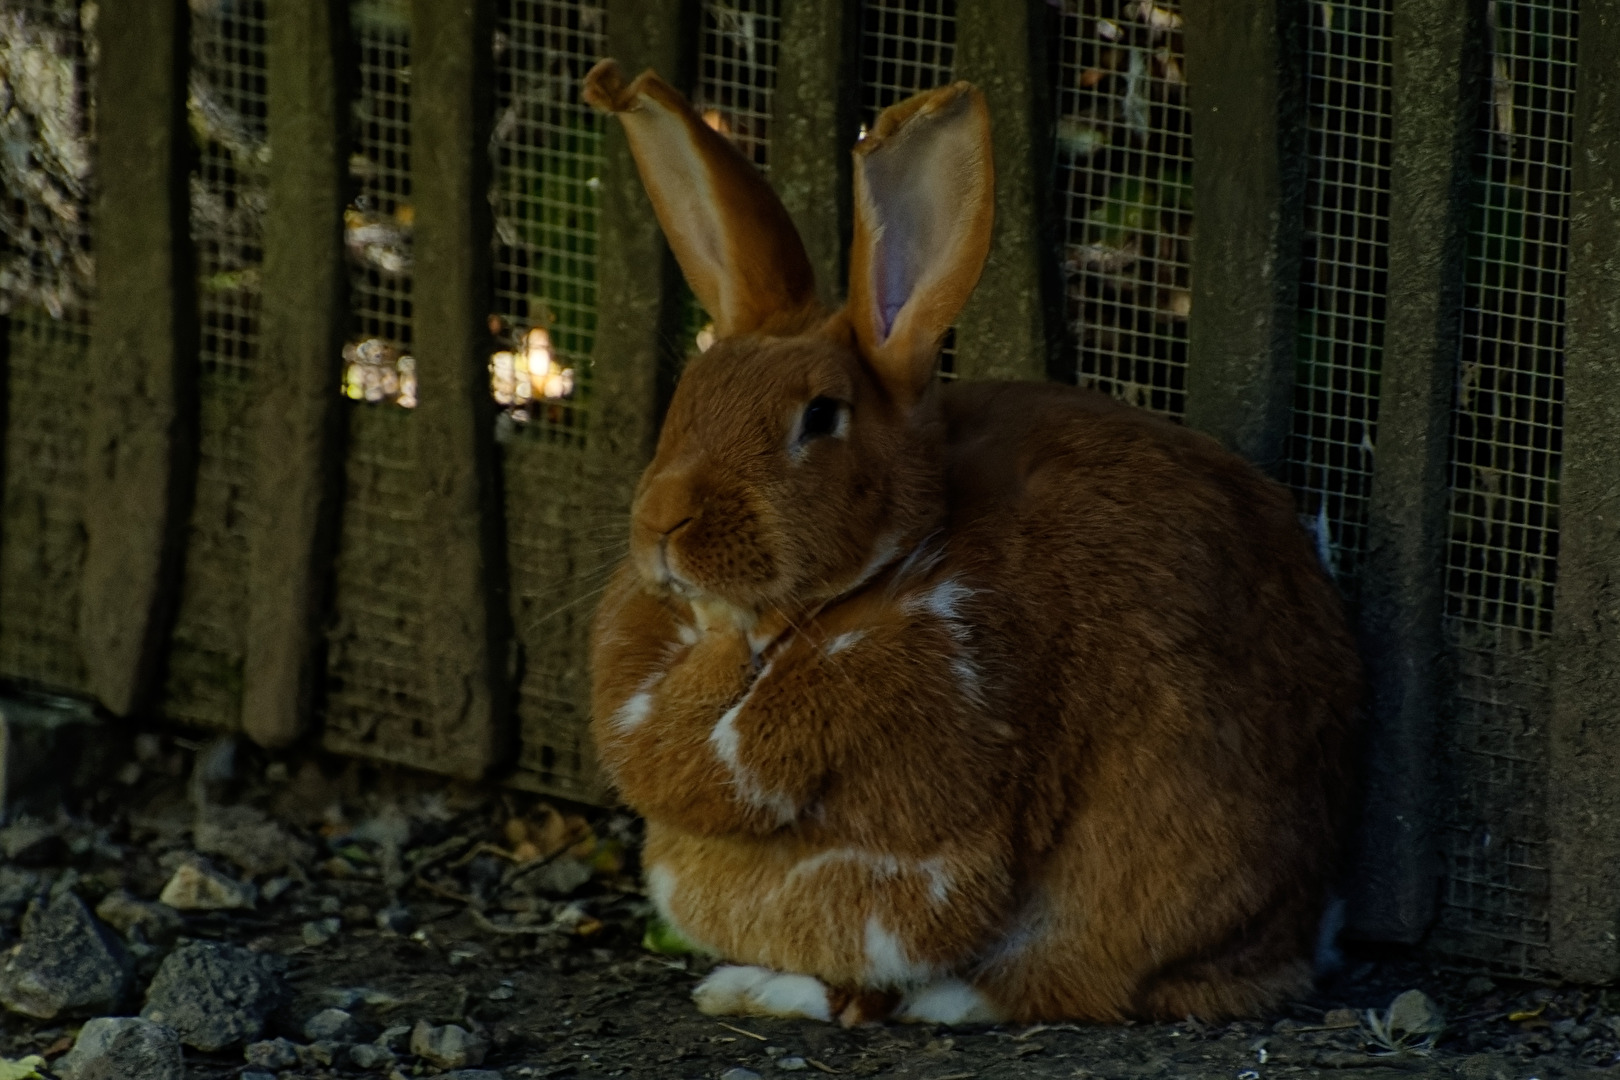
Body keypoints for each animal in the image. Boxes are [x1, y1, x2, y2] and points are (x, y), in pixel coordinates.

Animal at [583, 59, 1362, 1026]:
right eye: (689, 394)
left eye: (819, 417)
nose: (664, 524)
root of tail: (1302, 933)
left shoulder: (928, 829)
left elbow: (869, 961)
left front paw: (768, 988)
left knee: (1069, 980)